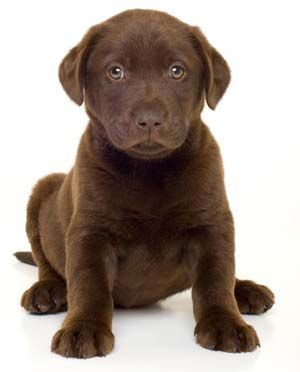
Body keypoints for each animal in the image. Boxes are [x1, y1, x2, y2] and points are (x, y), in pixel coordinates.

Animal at [14, 9, 274, 358]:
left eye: (177, 71)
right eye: (116, 72)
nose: (150, 119)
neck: (149, 170)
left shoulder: (213, 224)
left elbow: (216, 278)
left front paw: (225, 322)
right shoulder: (89, 232)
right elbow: (89, 284)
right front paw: (83, 328)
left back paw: (245, 290)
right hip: (43, 190)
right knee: (47, 262)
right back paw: (48, 290)